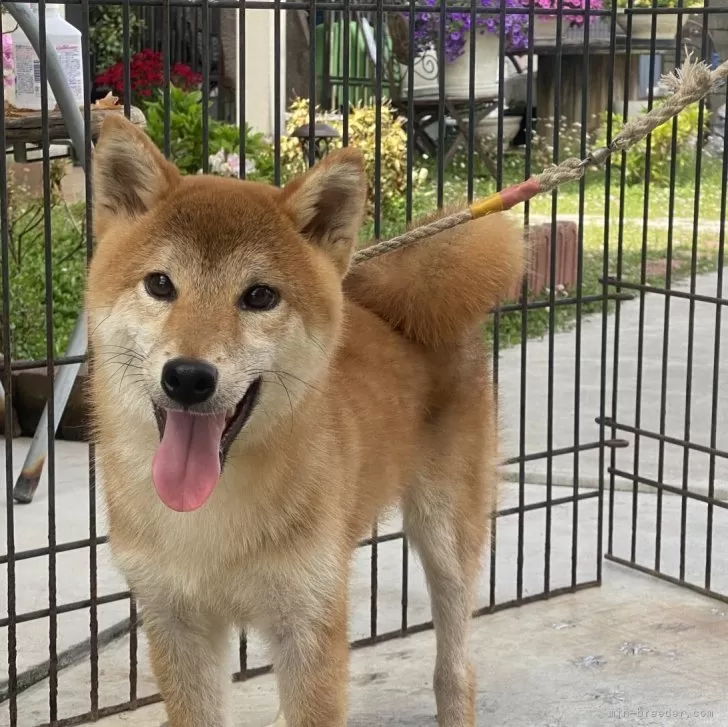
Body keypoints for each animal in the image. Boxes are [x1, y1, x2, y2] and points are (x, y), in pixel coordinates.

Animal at [88, 115, 528, 727]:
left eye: (259, 295)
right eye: (159, 284)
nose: (188, 377)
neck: (211, 519)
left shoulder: (310, 624)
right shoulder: (177, 625)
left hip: (447, 537)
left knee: (456, 666)